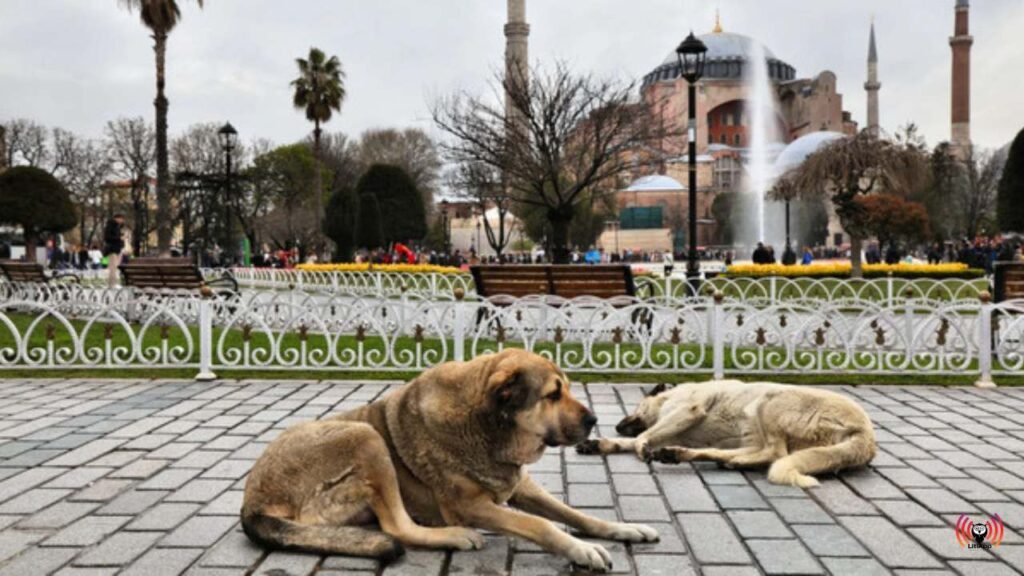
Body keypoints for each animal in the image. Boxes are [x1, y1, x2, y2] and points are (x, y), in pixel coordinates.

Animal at [239, 344, 655, 569]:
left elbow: (576, 515)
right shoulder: (470, 506)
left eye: (565, 389)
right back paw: (455, 537)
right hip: (365, 436)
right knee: (398, 529)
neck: (490, 427)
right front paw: (580, 549)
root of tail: (252, 503)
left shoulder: (520, 486)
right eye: (552, 395)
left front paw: (622, 529)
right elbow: (542, 525)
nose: (594, 420)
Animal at [581, 381, 876, 483]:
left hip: (769, 402)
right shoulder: (671, 427)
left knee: (775, 453)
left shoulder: (687, 410)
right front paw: (600, 443)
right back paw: (685, 455)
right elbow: (633, 440)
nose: (617, 426)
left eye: (637, 406)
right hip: (750, 436)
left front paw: (639, 448)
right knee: (749, 455)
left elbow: (641, 438)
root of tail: (866, 436)